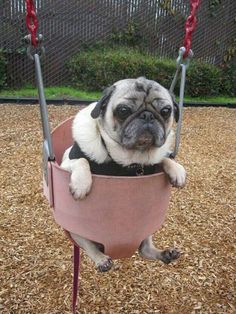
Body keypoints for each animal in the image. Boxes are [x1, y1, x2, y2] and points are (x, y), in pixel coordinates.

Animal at [60, 76, 186, 272]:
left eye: (166, 111)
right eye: (123, 111)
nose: (147, 115)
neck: (131, 161)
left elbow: (163, 158)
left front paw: (177, 169)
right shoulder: (65, 163)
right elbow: (81, 161)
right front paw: (81, 185)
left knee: (145, 249)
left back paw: (165, 254)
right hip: (76, 229)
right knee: (89, 245)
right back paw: (102, 260)